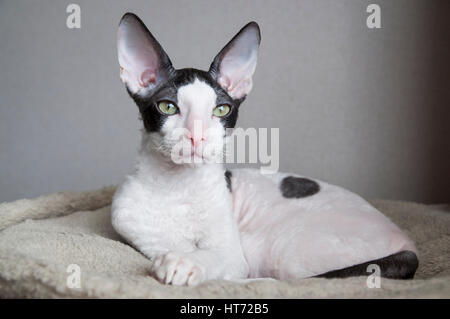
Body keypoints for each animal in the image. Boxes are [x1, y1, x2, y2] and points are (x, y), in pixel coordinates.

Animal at [111, 13, 418, 288]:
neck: (176, 187)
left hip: (277, 248)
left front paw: (184, 263)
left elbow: (216, 260)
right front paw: (177, 256)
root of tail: (408, 243)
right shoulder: (128, 222)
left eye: (221, 110)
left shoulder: (232, 255)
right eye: (167, 106)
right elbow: (170, 244)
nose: (197, 136)